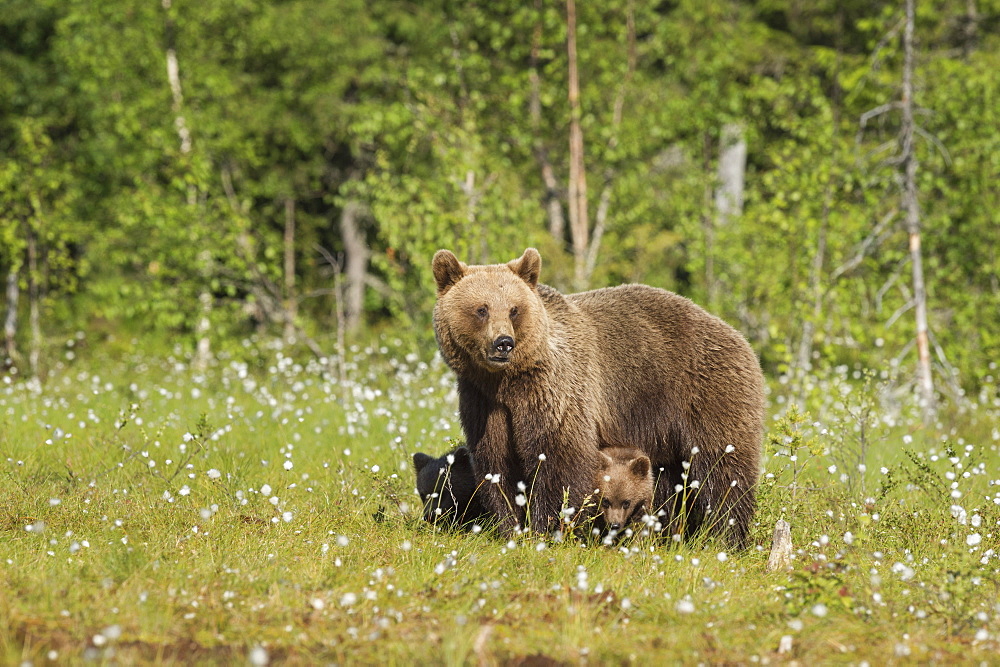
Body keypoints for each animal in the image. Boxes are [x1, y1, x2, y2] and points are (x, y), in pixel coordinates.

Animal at [430, 248, 764, 544]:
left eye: (514, 309)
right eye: (481, 309)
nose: (503, 343)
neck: (507, 381)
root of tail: (736, 335)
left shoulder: (556, 392)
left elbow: (559, 461)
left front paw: (548, 529)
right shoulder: (483, 401)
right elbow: (497, 463)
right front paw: (512, 528)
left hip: (705, 394)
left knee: (722, 470)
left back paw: (726, 535)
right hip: (661, 431)